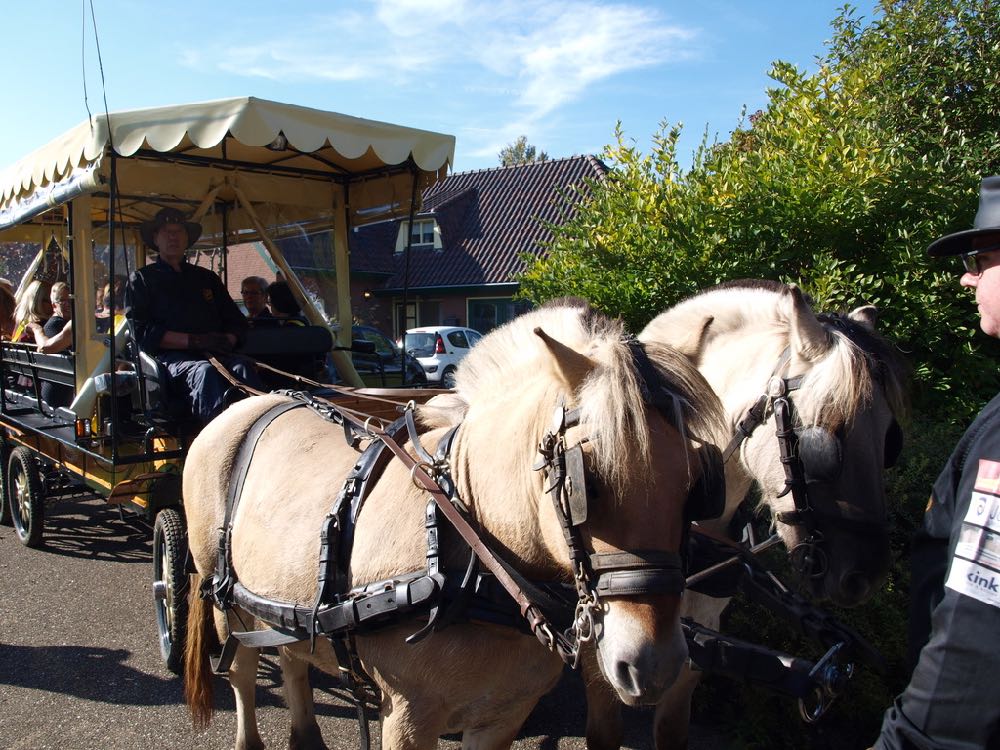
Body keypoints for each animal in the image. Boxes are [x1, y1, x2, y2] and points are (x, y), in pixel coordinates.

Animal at [184, 302, 724, 750]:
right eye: (585, 481)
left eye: (698, 483)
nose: (655, 666)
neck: (467, 554)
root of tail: (256, 402)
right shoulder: (408, 716)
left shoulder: (502, 716)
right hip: (227, 601)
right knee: (243, 674)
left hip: (282, 602)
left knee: (293, 659)